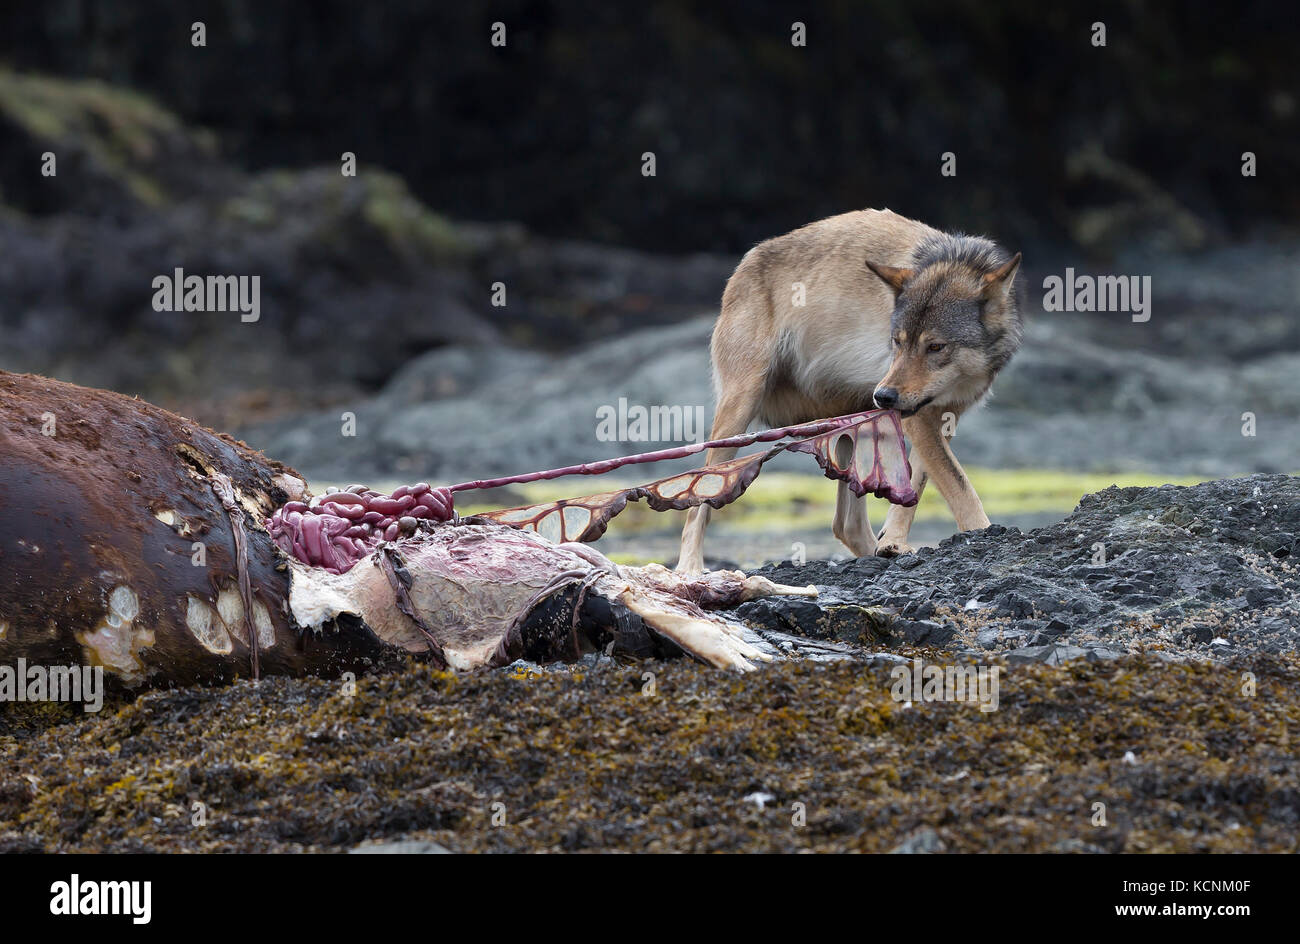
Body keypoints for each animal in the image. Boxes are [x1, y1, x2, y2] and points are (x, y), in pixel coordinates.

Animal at [676, 209, 1019, 572]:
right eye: (897, 342)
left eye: (936, 347)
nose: (885, 397)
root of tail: (744, 263)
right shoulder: (918, 418)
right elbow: (961, 487)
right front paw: (983, 535)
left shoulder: (942, 417)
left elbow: (919, 487)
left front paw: (893, 543)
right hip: (739, 414)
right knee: (696, 511)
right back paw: (690, 570)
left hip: (856, 424)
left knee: (845, 524)